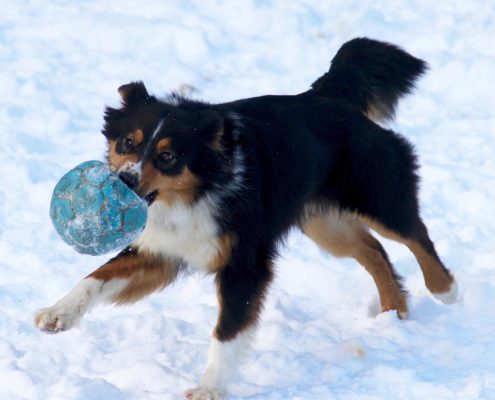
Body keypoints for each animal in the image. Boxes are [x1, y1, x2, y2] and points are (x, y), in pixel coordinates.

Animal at [35, 38, 458, 400]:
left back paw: (445, 290)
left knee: (415, 235)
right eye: (127, 142)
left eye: (168, 156)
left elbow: (227, 331)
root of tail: (327, 95)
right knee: (373, 250)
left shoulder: (245, 263)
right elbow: (97, 278)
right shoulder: (162, 250)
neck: (195, 193)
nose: (123, 180)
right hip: (323, 223)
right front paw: (57, 313)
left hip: (375, 194)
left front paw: (209, 388)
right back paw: (392, 311)